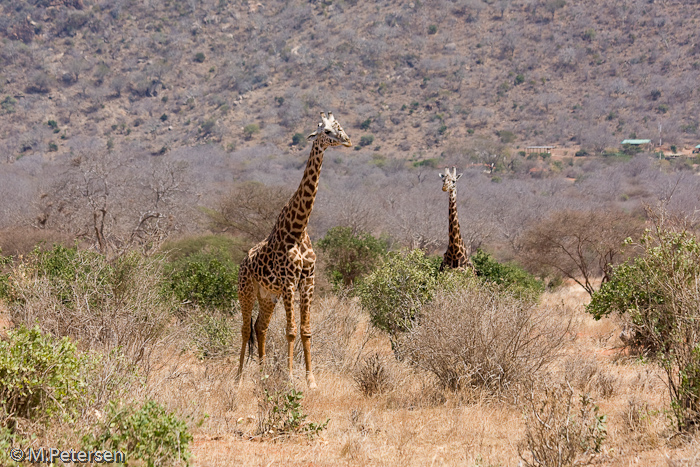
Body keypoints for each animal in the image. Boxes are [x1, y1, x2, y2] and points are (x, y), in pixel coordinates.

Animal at [238, 111, 352, 390]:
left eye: (340, 127)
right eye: (326, 131)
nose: (347, 140)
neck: (299, 229)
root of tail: (243, 262)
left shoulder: (308, 279)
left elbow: (305, 330)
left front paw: (311, 380)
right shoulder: (289, 281)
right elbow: (290, 331)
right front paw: (290, 378)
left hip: (268, 295)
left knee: (260, 327)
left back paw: (262, 375)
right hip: (246, 290)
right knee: (245, 329)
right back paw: (238, 378)